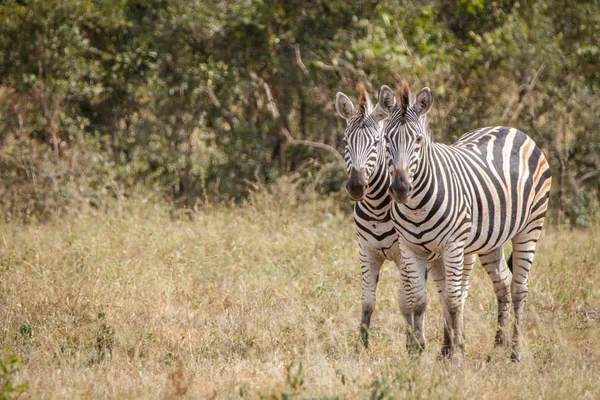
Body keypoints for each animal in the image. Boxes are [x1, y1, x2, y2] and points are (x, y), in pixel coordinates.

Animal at [336, 82, 552, 362]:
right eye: (345, 141)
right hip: (488, 241)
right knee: (499, 283)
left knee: (514, 288)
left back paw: (513, 351)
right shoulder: (371, 250)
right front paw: (364, 347)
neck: (377, 207)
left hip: (528, 228)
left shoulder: (415, 252)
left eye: (375, 142)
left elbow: (412, 300)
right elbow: (374, 300)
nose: (355, 186)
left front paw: (419, 345)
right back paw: (494, 345)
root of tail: (509, 128)